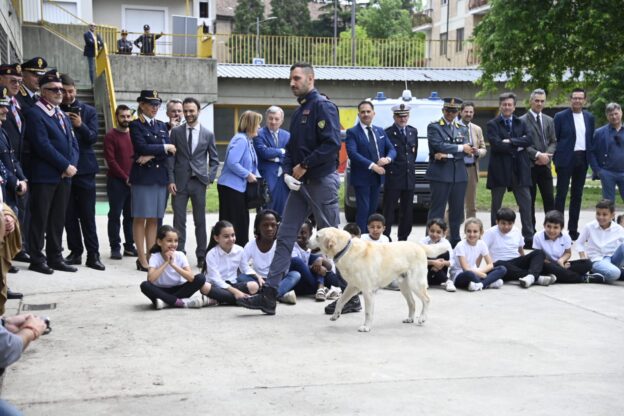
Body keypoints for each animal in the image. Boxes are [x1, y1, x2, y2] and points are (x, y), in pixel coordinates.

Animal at [310, 228, 448, 332]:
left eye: (317, 236)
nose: (306, 242)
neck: (346, 249)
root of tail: (418, 245)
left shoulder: (367, 291)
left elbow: (368, 312)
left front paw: (366, 327)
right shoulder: (352, 286)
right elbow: (340, 301)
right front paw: (336, 315)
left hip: (415, 283)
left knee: (426, 299)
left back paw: (422, 318)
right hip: (404, 286)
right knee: (412, 302)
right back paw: (410, 318)